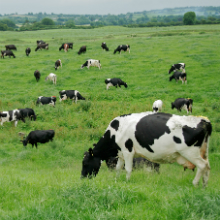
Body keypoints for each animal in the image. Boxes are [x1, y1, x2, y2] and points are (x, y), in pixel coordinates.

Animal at [81, 111, 212, 187]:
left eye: (85, 163)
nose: (82, 178)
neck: (115, 132)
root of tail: (203, 120)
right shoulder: (121, 153)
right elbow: (118, 168)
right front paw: (116, 180)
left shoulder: (128, 151)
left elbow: (128, 169)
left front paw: (127, 181)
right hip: (203, 152)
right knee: (207, 167)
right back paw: (204, 185)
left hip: (190, 152)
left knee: (202, 166)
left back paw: (195, 183)